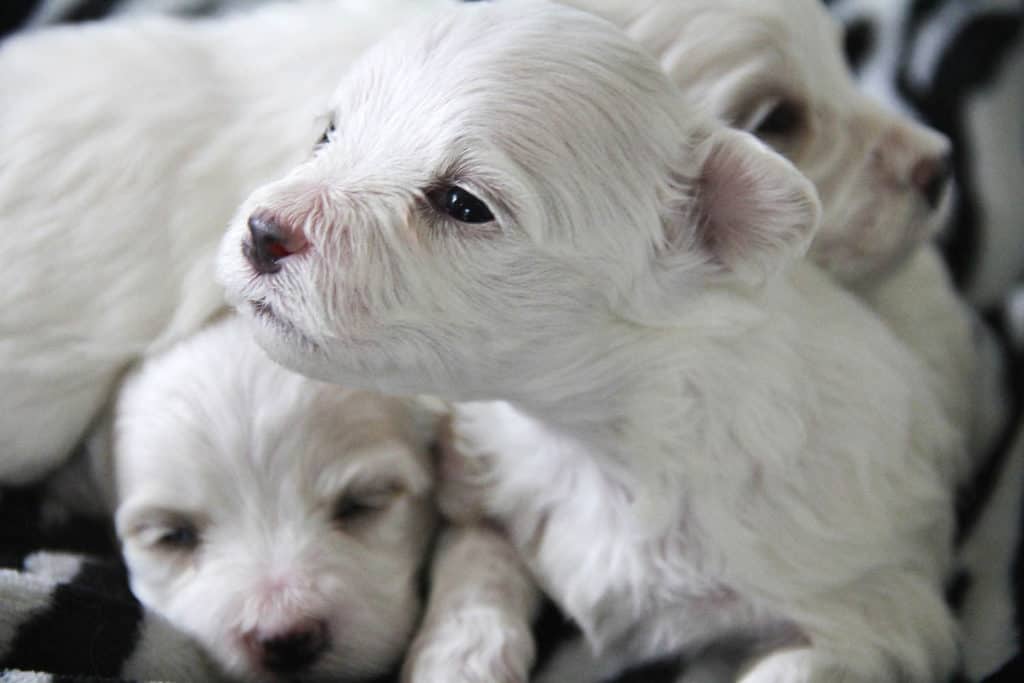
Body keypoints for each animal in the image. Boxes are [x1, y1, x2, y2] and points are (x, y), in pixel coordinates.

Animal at [218, 2, 966, 679]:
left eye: (462, 203)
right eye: (329, 133)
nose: (262, 231)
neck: (595, 444)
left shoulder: (877, 606)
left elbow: (794, 665)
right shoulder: (484, 494)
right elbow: (472, 596)